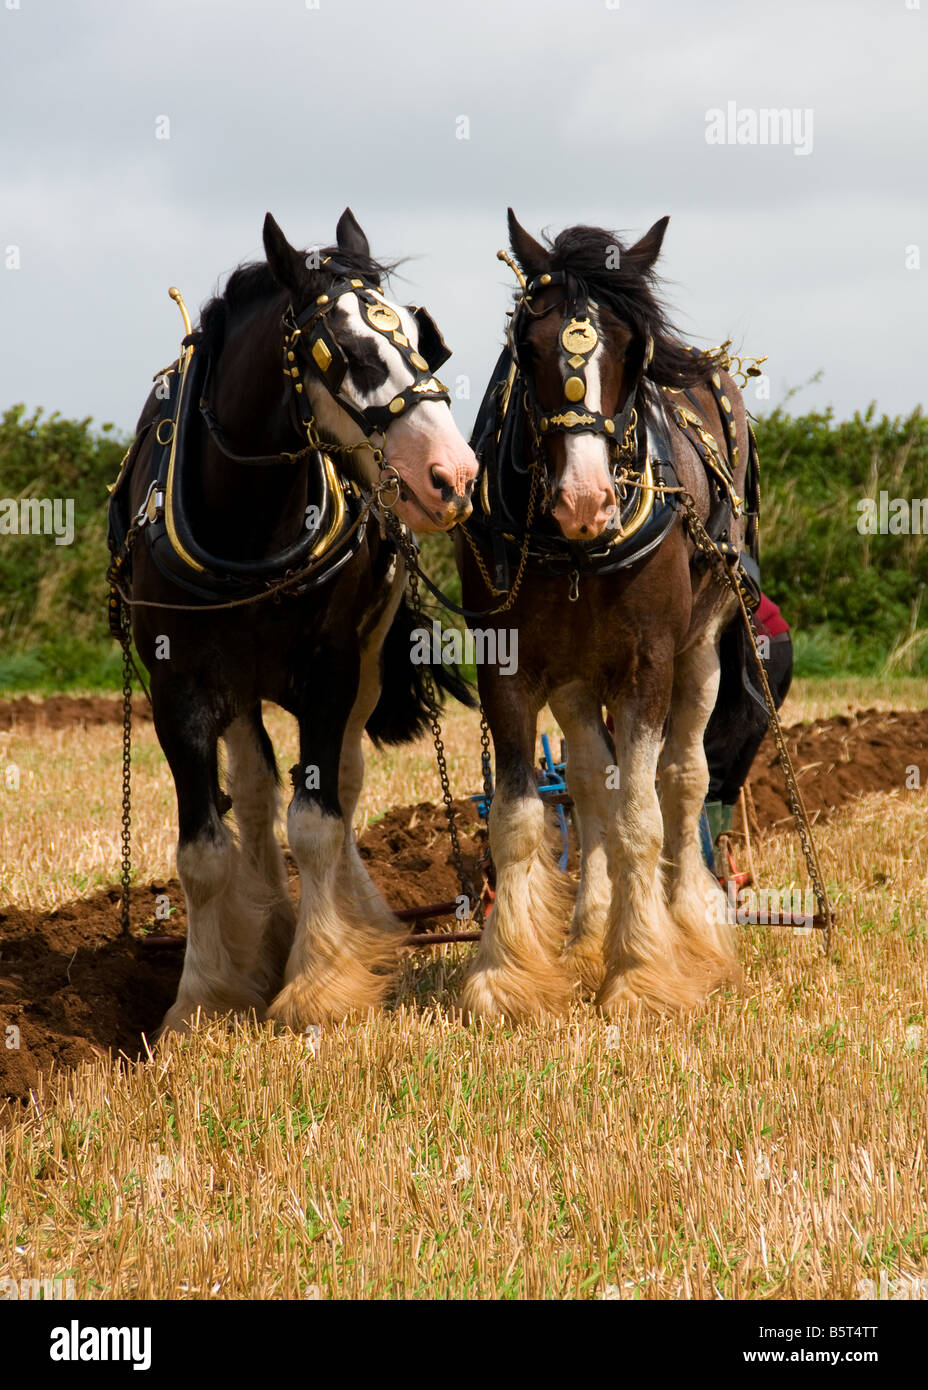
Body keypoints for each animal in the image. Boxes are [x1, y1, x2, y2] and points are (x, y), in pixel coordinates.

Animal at [110, 209, 479, 1035]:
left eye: (424, 338)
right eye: (350, 353)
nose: (454, 475)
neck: (246, 528)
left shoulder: (330, 669)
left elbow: (319, 820)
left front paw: (320, 983)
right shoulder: (177, 682)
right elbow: (202, 849)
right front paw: (204, 998)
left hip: (363, 663)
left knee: (340, 782)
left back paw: (356, 922)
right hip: (240, 679)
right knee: (251, 791)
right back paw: (267, 929)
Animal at [455, 210, 756, 1020]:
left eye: (628, 348)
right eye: (527, 346)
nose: (584, 501)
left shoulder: (648, 663)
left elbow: (642, 817)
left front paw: (642, 971)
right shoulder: (509, 665)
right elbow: (522, 816)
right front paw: (507, 975)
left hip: (701, 650)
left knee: (681, 780)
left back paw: (692, 926)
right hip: (576, 677)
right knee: (590, 787)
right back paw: (589, 938)